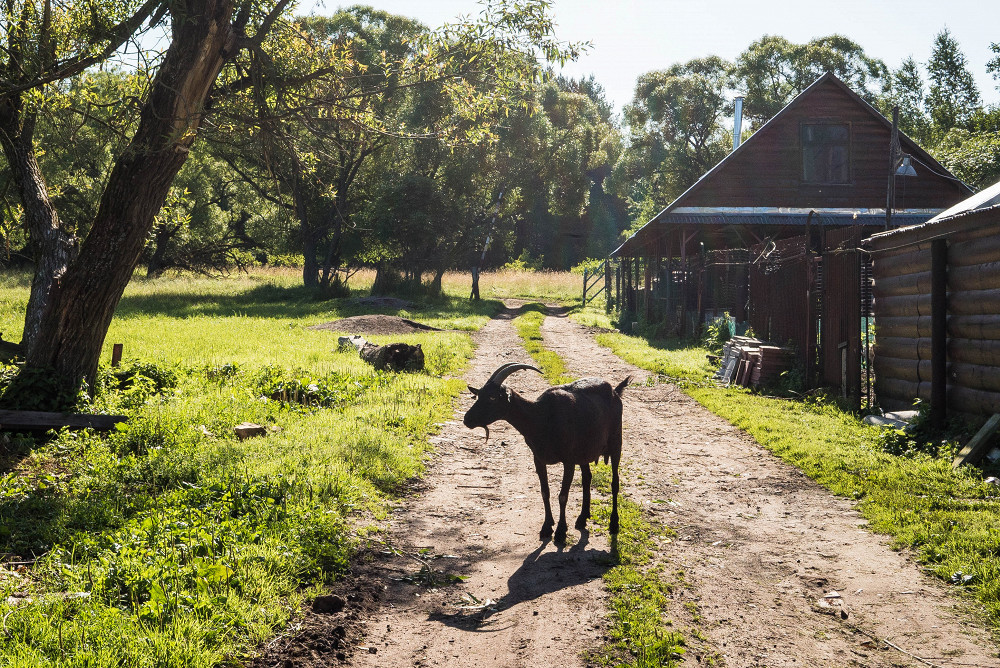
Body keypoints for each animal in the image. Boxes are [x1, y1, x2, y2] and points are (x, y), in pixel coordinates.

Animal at [462, 366, 632, 544]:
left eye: (492, 397)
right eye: (479, 395)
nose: (467, 419)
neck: (542, 418)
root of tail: (615, 392)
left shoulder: (569, 460)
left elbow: (563, 495)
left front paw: (561, 531)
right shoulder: (538, 458)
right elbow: (545, 492)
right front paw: (546, 526)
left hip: (616, 443)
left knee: (614, 483)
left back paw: (614, 524)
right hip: (584, 452)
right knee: (587, 478)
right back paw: (582, 518)